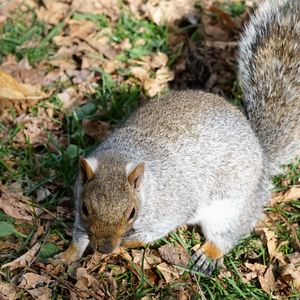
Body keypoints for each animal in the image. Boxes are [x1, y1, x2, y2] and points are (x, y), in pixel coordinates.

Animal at [54, 0, 300, 274]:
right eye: (85, 208)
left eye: (132, 212)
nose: (105, 248)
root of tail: (260, 151)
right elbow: (78, 234)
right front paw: (66, 255)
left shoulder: (173, 207)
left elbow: (154, 232)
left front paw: (130, 241)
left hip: (231, 206)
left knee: (228, 232)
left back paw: (209, 254)